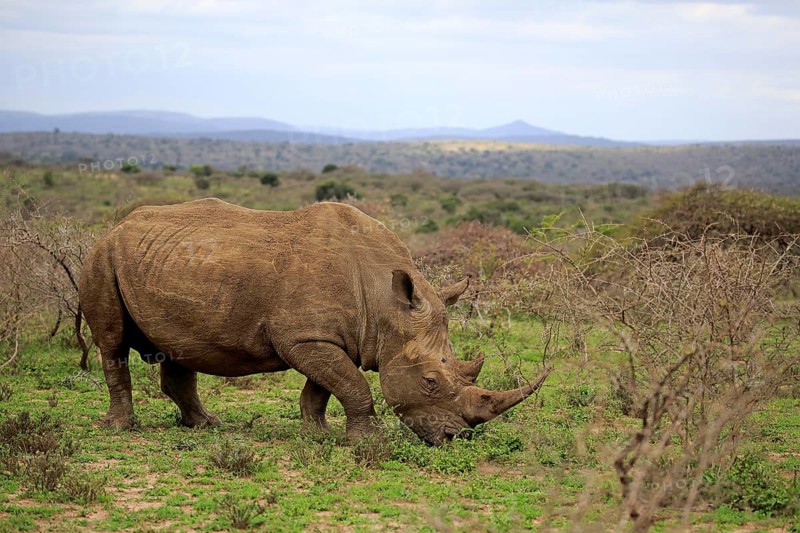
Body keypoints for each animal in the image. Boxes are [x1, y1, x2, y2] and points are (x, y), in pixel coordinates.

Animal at [78, 198, 549, 445]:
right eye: (431, 382)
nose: (457, 438)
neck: (384, 302)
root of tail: (117, 224)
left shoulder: (328, 338)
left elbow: (325, 386)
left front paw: (316, 433)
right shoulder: (305, 338)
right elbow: (353, 386)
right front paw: (368, 442)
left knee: (181, 347)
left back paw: (206, 425)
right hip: (102, 255)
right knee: (112, 343)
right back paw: (119, 427)